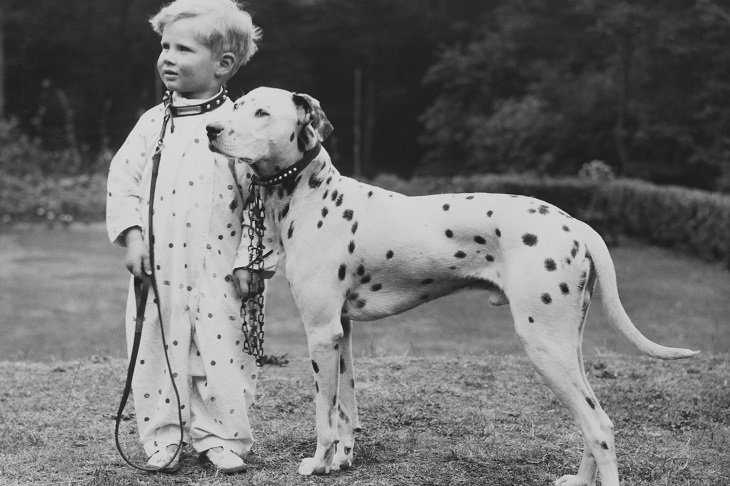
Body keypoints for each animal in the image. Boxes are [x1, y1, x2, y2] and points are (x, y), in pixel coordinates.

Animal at [206, 87, 698, 485]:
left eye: (262, 113)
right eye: (237, 106)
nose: (211, 128)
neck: (314, 196)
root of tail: (575, 223)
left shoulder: (320, 333)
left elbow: (324, 414)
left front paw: (319, 463)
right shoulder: (340, 332)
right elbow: (346, 409)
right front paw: (341, 460)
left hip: (544, 346)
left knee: (600, 426)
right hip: (566, 345)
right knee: (590, 423)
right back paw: (578, 480)